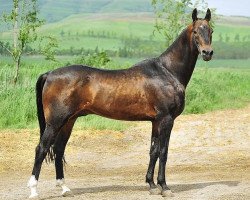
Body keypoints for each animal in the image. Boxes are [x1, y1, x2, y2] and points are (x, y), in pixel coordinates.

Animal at [28, 8, 214, 198]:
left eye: (211, 31)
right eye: (195, 31)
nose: (207, 53)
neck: (167, 71)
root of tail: (49, 74)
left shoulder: (156, 121)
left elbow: (153, 151)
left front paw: (152, 185)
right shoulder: (166, 119)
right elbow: (163, 152)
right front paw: (164, 187)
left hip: (68, 121)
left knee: (59, 150)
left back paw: (65, 188)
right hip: (55, 122)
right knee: (41, 149)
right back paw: (34, 190)